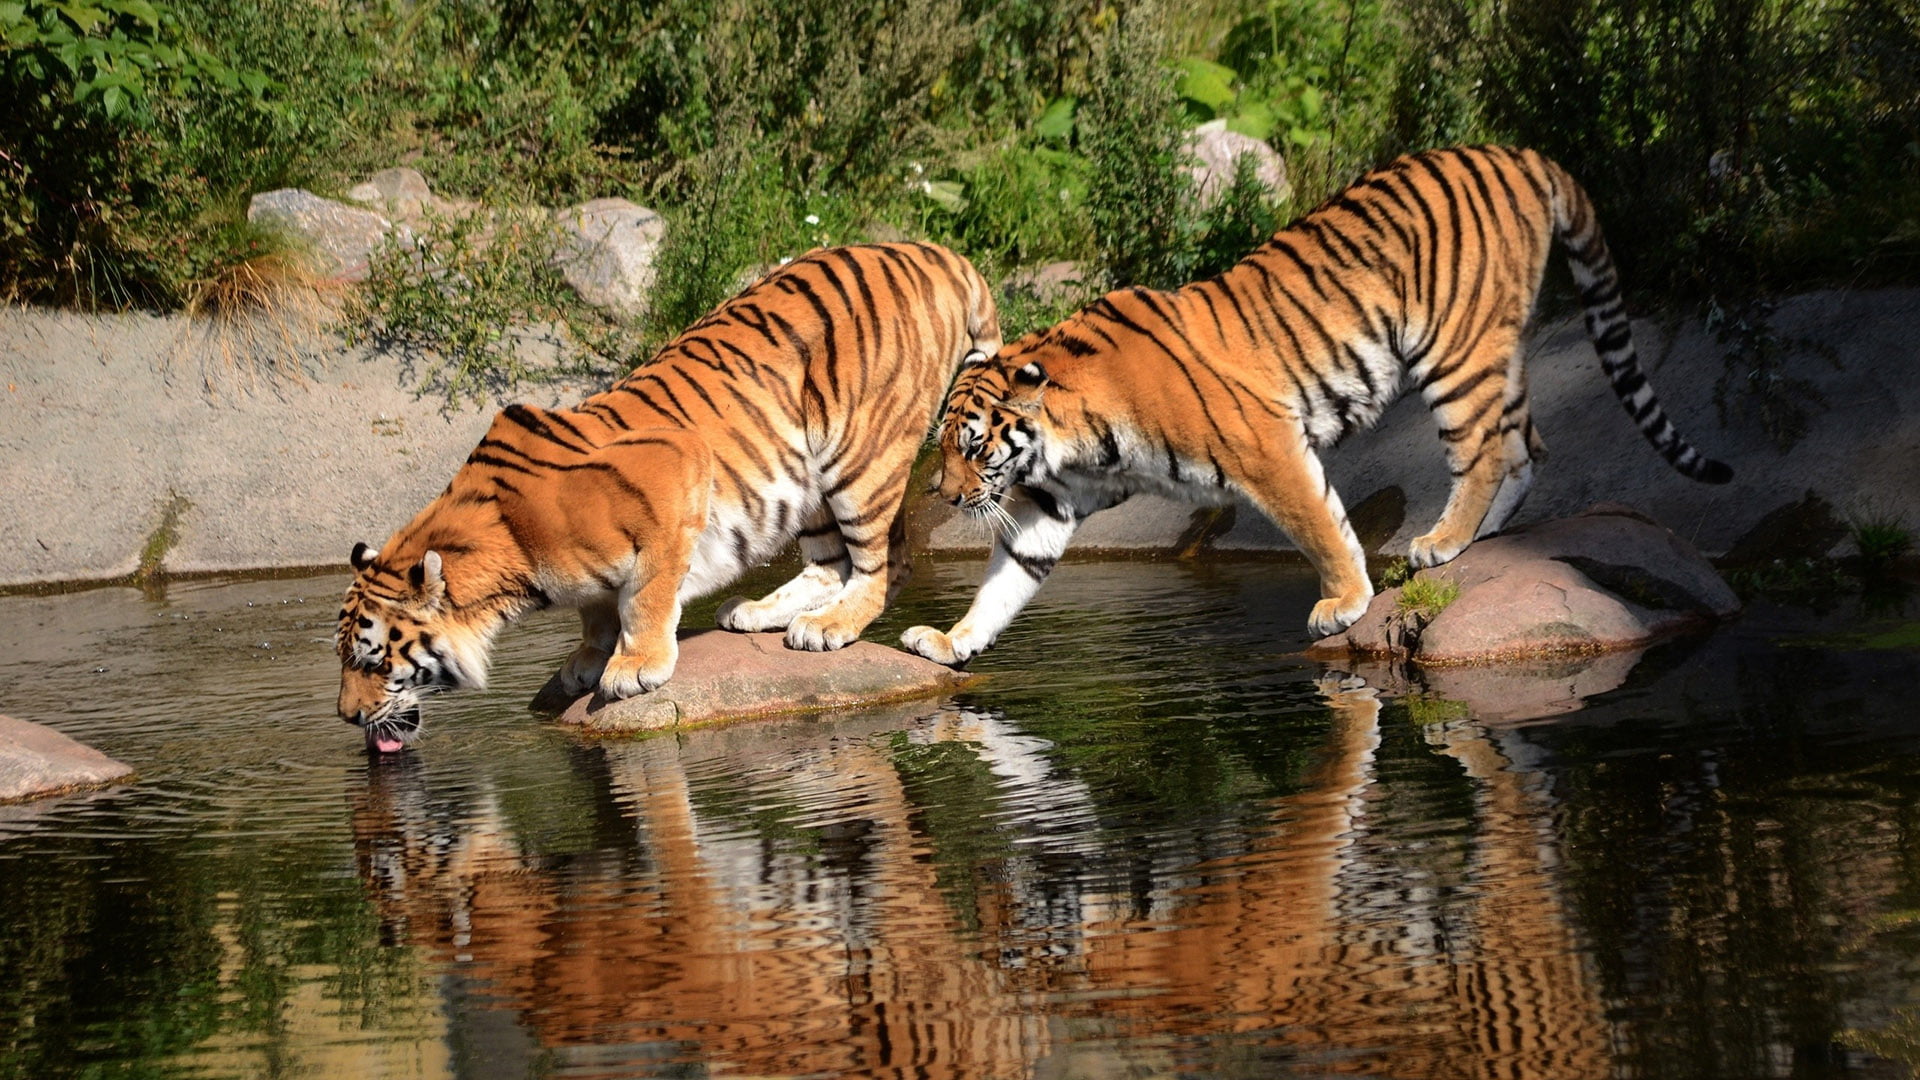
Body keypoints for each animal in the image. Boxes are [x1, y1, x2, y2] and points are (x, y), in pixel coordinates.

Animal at [337, 242, 1001, 751]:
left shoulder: (675, 466)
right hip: (809, 474)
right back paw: (761, 612)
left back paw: (828, 626)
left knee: (886, 560)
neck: (511, 555)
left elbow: (646, 596)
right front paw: (586, 659)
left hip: (860, 454)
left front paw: (633, 668)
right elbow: (597, 606)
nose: (346, 716)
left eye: (374, 661)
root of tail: (936, 252)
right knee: (829, 561)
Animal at [901, 145, 1732, 667]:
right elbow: (1007, 580)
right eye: (945, 447)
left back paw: (1441, 542)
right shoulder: (1054, 504)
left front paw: (1343, 604)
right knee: (1528, 443)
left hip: (1455, 352)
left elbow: (1320, 524)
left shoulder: (1265, 444)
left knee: (1487, 449)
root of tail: (1518, 154)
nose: (944, 496)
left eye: (971, 446)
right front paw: (951, 642)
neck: (1070, 437)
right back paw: (1480, 538)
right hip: (1498, 349)